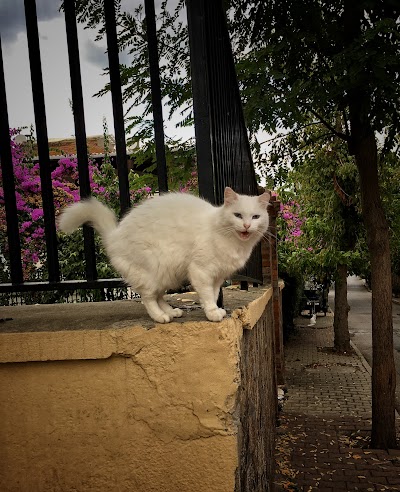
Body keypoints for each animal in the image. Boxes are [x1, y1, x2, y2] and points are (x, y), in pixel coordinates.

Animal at [58, 187, 272, 322]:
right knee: (148, 298)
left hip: (166, 275)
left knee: (159, 296)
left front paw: (214, 310)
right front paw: (212, 313)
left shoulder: (218, 277)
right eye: (238, 215)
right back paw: (161, 317)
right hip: (151, 271)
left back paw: (172, 312)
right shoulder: (201, 272)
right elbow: (207, 295)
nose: (246, 226)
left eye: (255, 217)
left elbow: (213, 293)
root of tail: (114, 236)